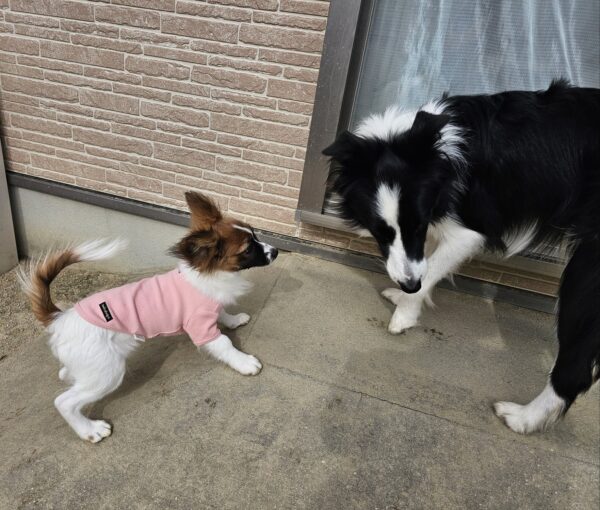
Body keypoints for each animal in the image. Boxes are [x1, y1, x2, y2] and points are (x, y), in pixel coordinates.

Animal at [19, 192, 278, 443]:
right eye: (248, 249)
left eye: (255, 235)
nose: (275, 251)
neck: (208, 276)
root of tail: (60, 317)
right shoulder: (200, 327)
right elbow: (224, 344)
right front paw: (244, 362)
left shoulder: (212, 307)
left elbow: (223, 312)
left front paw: (234, 319)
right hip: (107, 371)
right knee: (65, 402)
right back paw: (90, 430)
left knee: (69, 375)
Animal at [324, 79, 599, 434]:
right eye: (380, 231)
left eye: (418, 224)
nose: (408, 285)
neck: (435, 153)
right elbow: (421, 263)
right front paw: (403, 296)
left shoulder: (468, 230)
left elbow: (431, 267)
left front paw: (405, 313)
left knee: (575, 367)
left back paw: (523, 419)